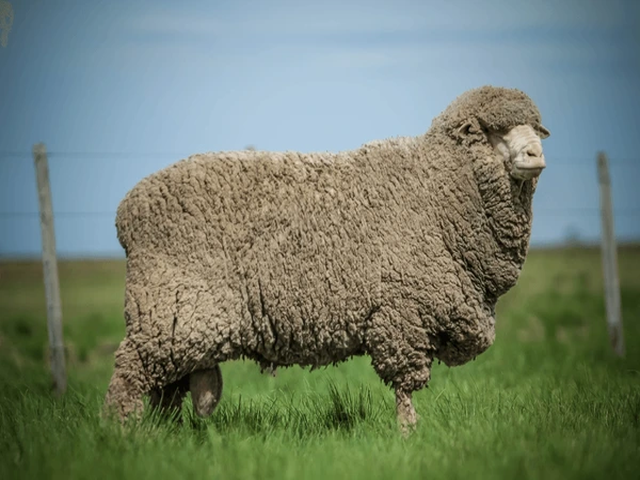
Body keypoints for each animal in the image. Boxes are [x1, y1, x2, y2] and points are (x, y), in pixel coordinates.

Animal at [103, 85, 550, 429]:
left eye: (534, 128)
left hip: (176, 329)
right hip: (166, 315)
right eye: (494, 132)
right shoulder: (403, 312)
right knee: (127, 379)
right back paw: (123, 437)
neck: (437, 189)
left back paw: (164, 437)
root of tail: (127, 209)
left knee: (164, 394)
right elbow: (405, 386)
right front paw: (408, 433)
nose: (536, 156)